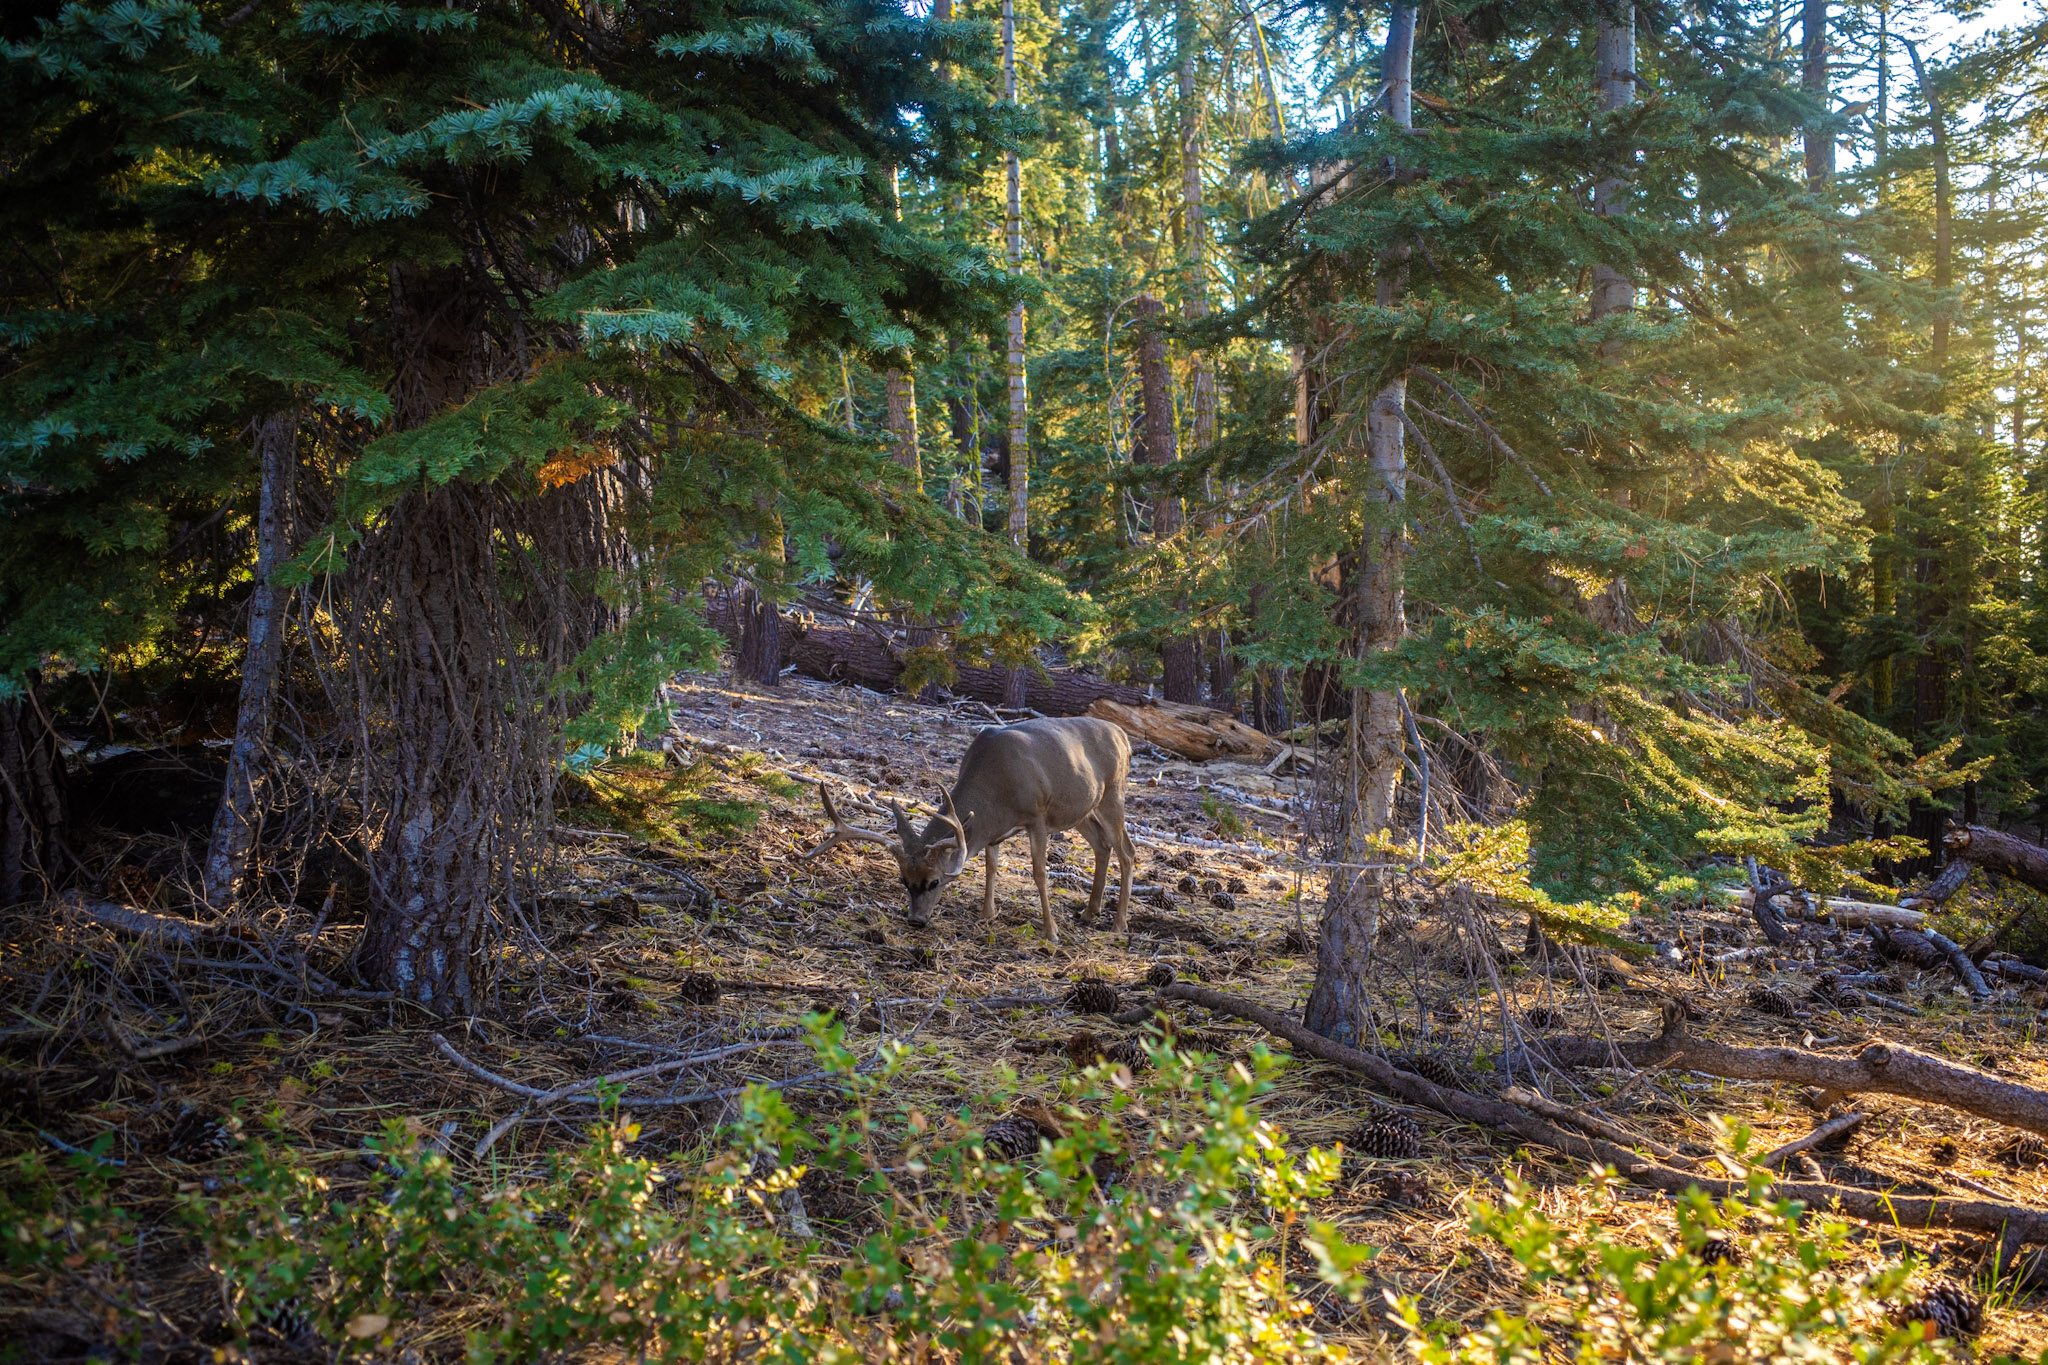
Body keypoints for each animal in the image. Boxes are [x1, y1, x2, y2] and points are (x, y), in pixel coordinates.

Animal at [802, 716, 1138, 949]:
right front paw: (987, 914)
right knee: (1102, 845)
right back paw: (1089, 912)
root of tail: (1124, 736)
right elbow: (991, 866)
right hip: (1082, 809)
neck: (997, 789)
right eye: (903, 881)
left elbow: (1040, 873)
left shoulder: (1037, 815)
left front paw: (1051, 932)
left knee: (1127, 851)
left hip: (1113, 793)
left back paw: (1119, 924)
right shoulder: (991, 829)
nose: (916, 920)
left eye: (934, 881)